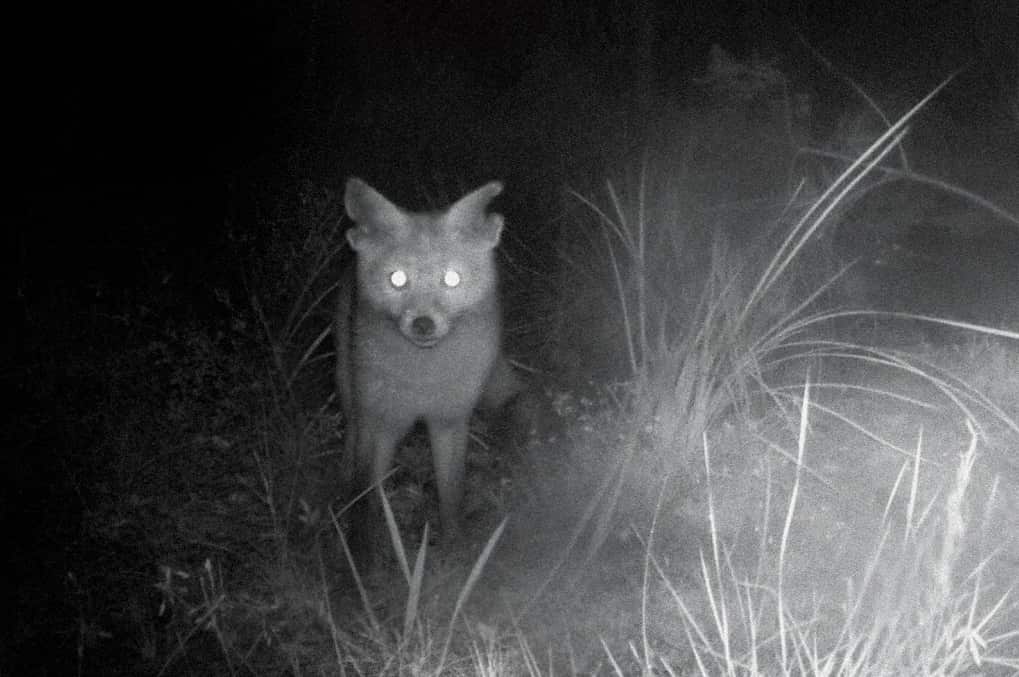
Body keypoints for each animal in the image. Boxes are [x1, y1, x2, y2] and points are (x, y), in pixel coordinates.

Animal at [334, 177, 515, 561]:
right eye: (397, 279)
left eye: (452, 279)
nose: (422, 324)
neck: (422, 385)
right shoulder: (379, 422)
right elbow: (366, 498)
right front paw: (361, 559)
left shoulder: (450, 420)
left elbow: (451, 494)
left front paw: (455, 551)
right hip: (347, 385)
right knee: (351, 436)